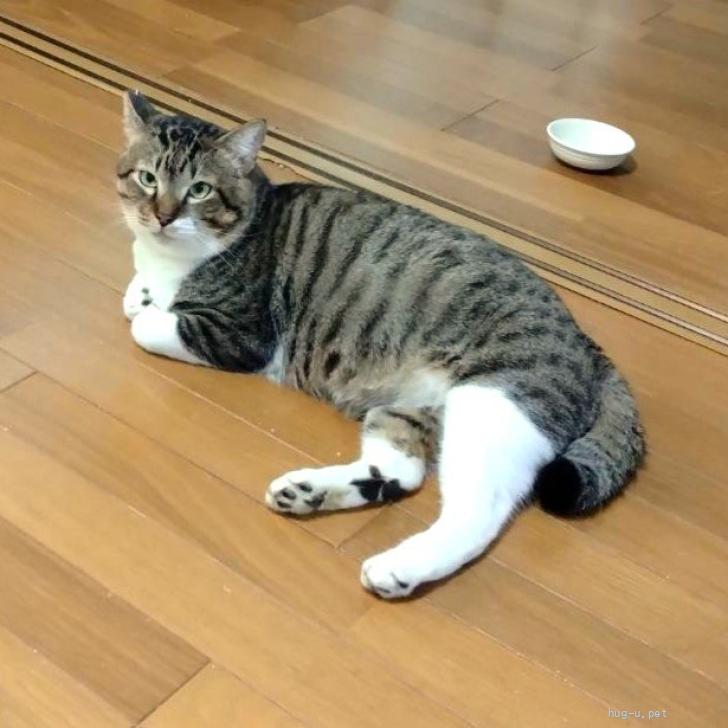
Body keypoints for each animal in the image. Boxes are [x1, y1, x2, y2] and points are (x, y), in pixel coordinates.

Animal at [118, 91, 645, 599]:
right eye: (147, 179)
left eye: (199, 190)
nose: (161, 217)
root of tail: (586, 341)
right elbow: (135, 291)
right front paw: (140, 290)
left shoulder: (241, 334)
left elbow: (145, 325)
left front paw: (149, 306)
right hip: (416, 407)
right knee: (401, 470)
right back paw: (309, 492)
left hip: (495, 403)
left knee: (478, 514)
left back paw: (399, 568)